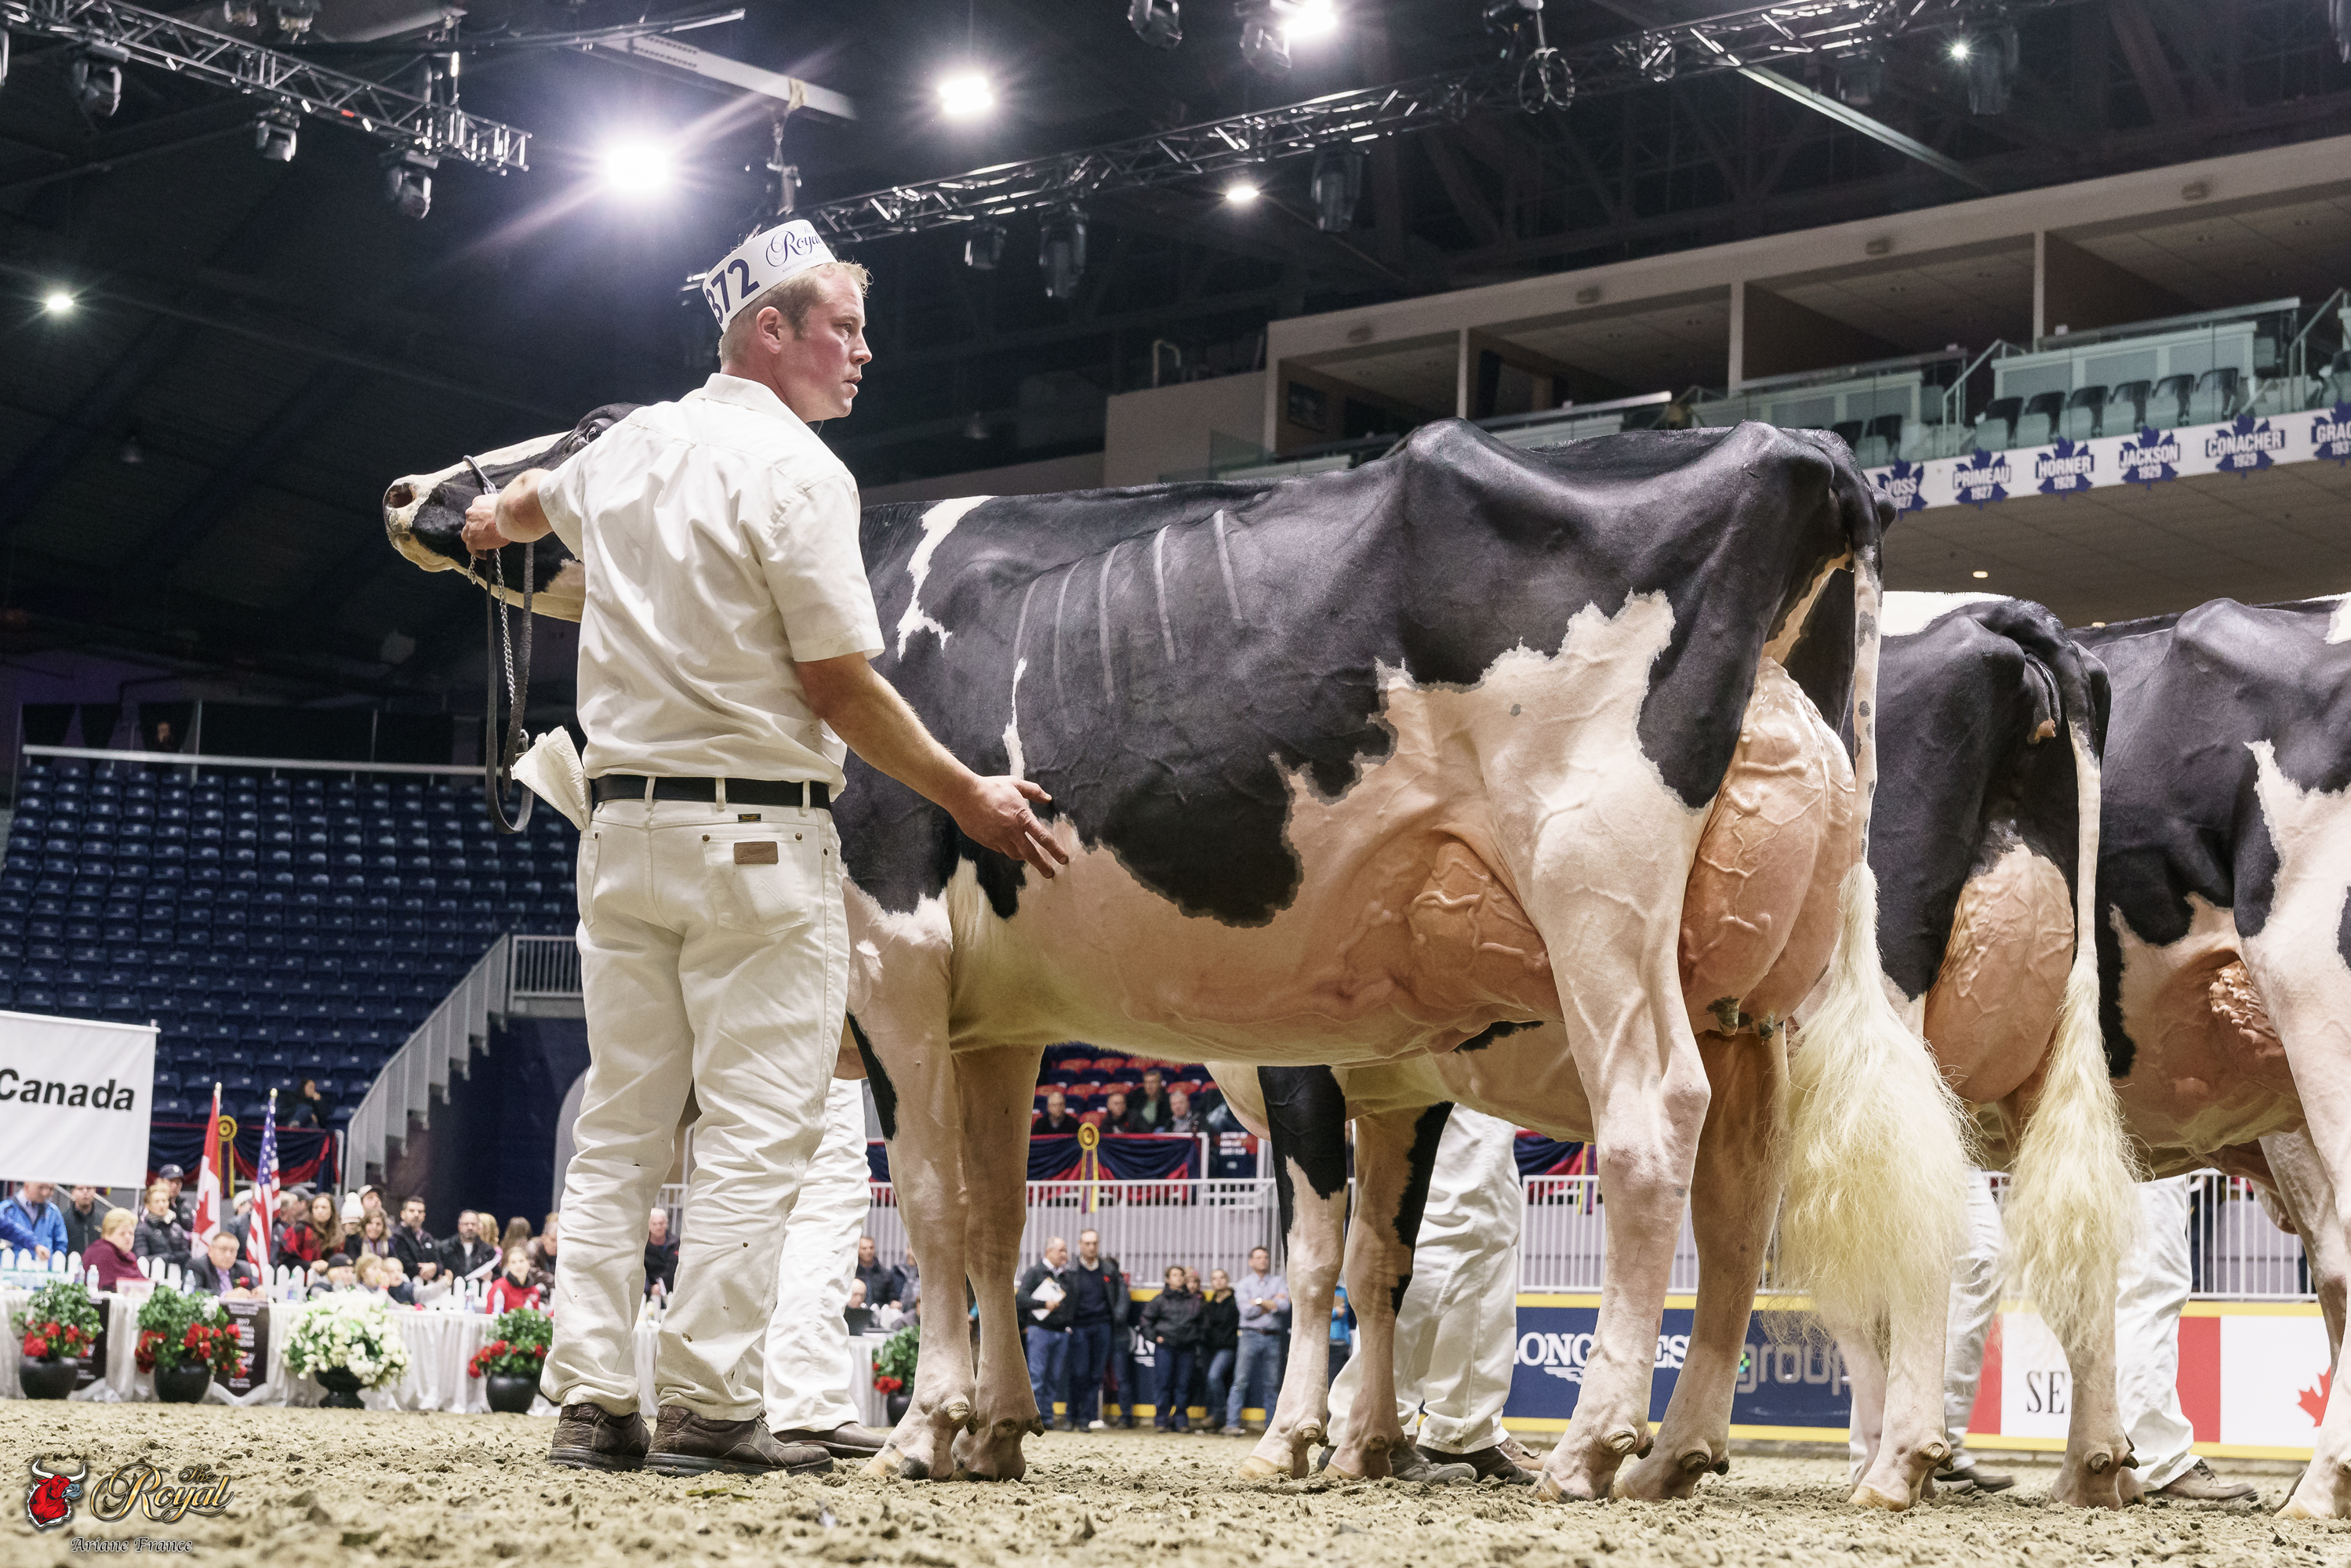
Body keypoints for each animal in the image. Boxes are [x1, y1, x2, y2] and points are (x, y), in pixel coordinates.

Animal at [384, 415, 1971, 1506]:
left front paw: (922, 1429)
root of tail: (1794, 448)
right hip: (1754, 987)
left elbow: (935, 1210)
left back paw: (1594, 1445)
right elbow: (1002, 1219)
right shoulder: (999, 1018)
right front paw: (999, 1427)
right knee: (1746, 1195)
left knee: (1654, 1133)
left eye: (595, 433)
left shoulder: (895, 948)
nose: (409, 489)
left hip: (1598, 888)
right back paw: (1682, 1451)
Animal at [1209, 589, 2139, 1509]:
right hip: (2026, 1048)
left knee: (1915, 1234)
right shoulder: (1403, 1092)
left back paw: (1893, 1462)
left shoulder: (1299, 1067)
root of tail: (2005, 616)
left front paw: (1289, 1439)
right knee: (2071, 1230)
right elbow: (1381, 1265)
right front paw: (1370, 1444)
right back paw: (2086, 1465)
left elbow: (1317, 1261)